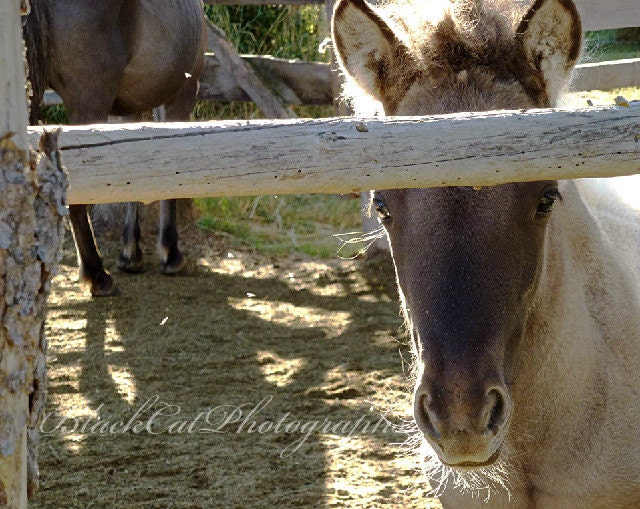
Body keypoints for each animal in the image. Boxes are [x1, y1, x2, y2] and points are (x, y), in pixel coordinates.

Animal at [23, 0, 207, 296]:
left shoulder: (131, 108)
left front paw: (130, 254)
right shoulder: (182, 93)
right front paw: (170, 253)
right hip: (90, 102)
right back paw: (96, 274)